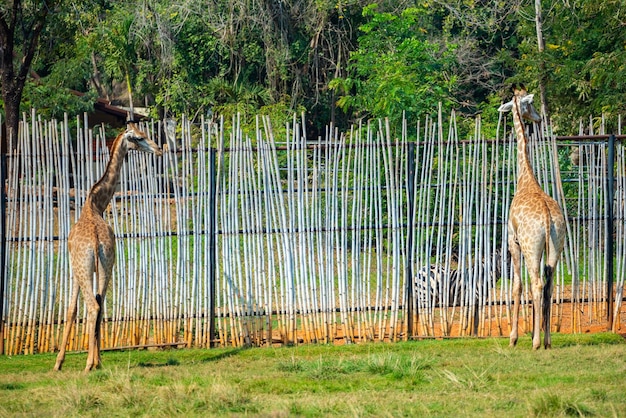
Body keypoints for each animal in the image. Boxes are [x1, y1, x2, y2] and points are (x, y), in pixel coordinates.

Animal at [54, 122, 162, 370]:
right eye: (139, 137)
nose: (159, 149)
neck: (95, 203)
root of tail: (95, 240)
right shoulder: (99, 266)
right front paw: (98, 360)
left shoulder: (74, 268)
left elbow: (71, 309)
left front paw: (58, 363)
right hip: (107, 265)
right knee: (100, 306)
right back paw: (95, 362)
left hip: (85, 268)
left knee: (93, 307)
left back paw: (87, 365)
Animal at [498, 87, 564, 350]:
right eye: (531, 106)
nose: (537, 118)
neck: (526, 178)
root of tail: (547, 216)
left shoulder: (512, 241)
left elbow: (516, 285)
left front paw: (513, 338)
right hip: (555, 245)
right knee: (549, 285)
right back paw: (547, 341)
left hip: (530, 246)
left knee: (536, 283)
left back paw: (535, 342)